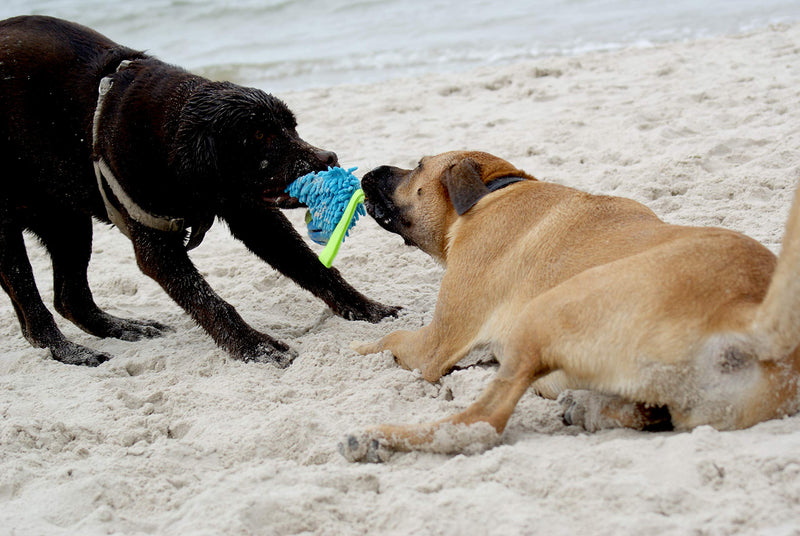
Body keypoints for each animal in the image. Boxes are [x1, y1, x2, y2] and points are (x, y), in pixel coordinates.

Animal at [0, 17, 396, 368]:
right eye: (260, 136)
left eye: (291, 126)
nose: (329, 158)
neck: (164, 136)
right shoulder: (157, 248)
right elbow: (210, 301)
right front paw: (256, 348)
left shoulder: (253, 215)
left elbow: (315, 268)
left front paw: (366, 308)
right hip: (12, 235)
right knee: (34, 311)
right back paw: (71, 352)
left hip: (68, 222)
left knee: (70, 299)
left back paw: (125, 328)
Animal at [340, 150, 800, 460]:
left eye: (418, 166)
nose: (369, 172)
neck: (493, 192)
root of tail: (746, 312)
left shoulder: (436, 343)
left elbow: (391, 339)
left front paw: (359, 347)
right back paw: (591, 408)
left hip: (546, 311)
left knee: (482, 423)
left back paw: (375, 437)